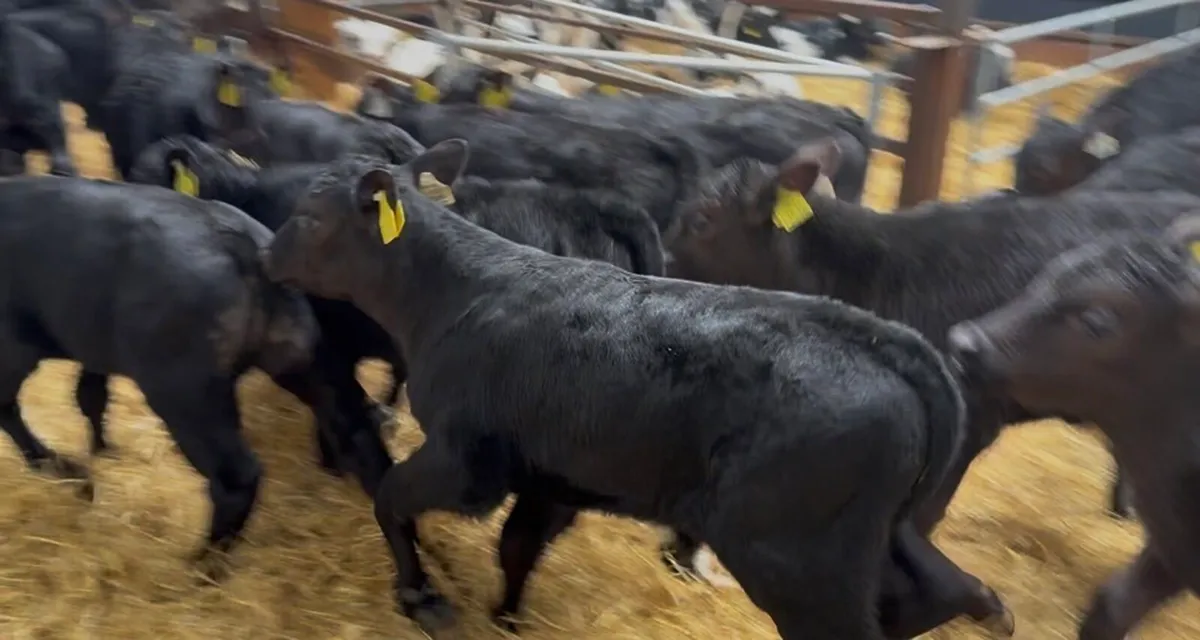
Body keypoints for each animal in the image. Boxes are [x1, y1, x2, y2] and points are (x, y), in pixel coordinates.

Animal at [0, 175, 320, 580]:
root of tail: (242, 246)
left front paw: (75, 473)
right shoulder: (94, 347)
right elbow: (89, 396)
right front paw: (103, 454)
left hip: (187, 396)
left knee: (236, 477)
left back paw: (200, 567)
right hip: (299, 366)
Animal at [261, 143, 1000, 640]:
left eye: (312, 215)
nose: (267, 253)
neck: (458, 289)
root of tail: (884, 340)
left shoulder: (467, 460)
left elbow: (390, 499)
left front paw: (422, 598)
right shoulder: (551, 474)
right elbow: (516, 548)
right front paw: (504, 617)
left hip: (797, 563)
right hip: (871, 540)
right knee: (947, 589)